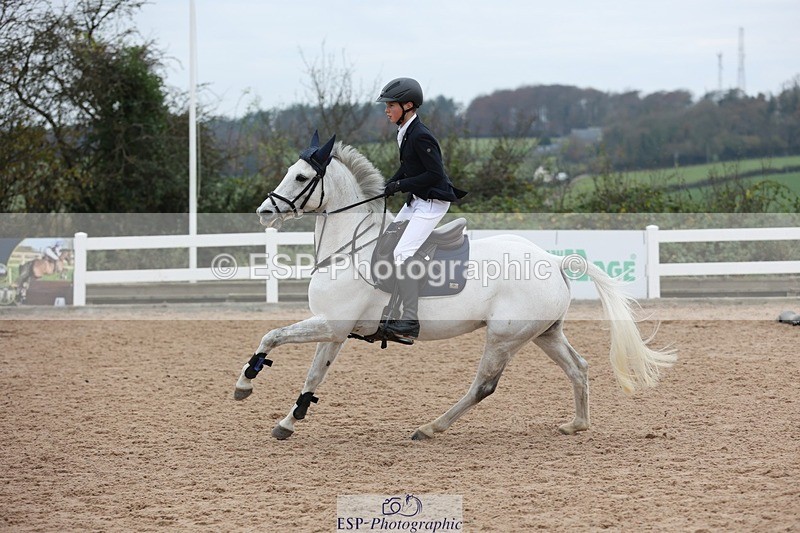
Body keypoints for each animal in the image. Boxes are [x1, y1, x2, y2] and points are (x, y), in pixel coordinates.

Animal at [234, 133, 676, 441]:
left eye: (301, 176)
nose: (264, 211)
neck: (349, 248)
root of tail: (552, 260)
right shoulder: (337, 329)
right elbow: (313, 376)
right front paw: (289, 421)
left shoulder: (330, 323)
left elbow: (272, 335)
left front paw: (246, 382)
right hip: (544, 333)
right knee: (578, 367)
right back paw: (577, 425)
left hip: (503, 337)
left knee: (483, 386)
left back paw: (430, 428)